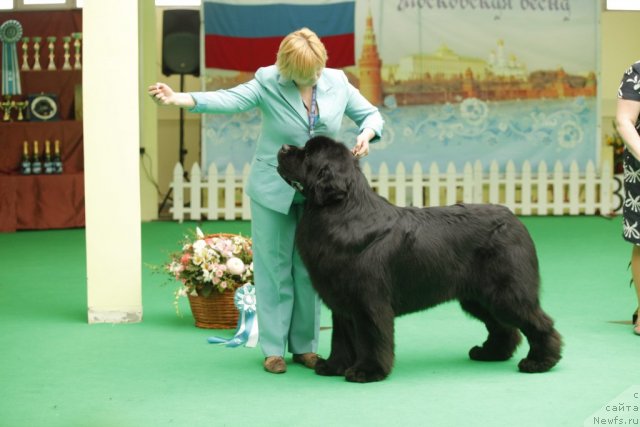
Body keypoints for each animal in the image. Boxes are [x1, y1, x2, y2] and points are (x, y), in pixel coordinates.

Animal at [276, 135, 560, 382]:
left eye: (308, 153)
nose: (283, 147)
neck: (343, 211)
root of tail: (515, 219)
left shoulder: (368, 299)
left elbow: (371, 336)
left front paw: (367, 371)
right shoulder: (341, 300)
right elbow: (342, 337)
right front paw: (334, 366)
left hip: (506, 291)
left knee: (538, 321)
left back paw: (540, 361)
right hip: (478, 297)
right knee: (503, 327)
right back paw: (491, 353)